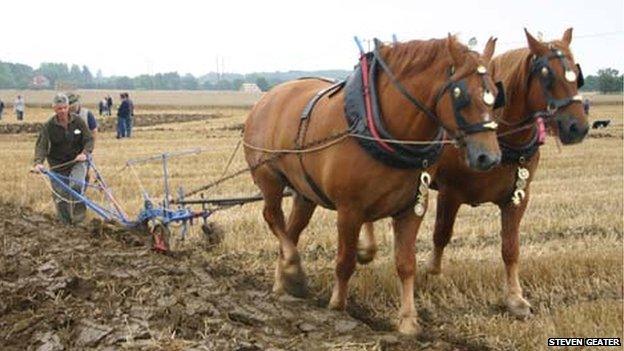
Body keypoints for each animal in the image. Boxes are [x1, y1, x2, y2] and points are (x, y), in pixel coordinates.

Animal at [244, 35, 502, 336]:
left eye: (494, 94)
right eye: (461, 95)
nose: (489, 157)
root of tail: (267, 97)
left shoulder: (412, 208)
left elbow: (406, 263)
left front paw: (407, 321)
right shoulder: (349, 210)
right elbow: (345, 261)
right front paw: (337, 307)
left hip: (305, 193)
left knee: (291, 231)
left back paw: (282, 282)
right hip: (269, 179)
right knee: (273, 217)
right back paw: (293, 268)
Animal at [356, 27, 588, 320]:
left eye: (576, 74)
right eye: (547, 75)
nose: (578, 127)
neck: (500, 134)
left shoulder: (519, 196)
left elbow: (511, 247)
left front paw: (515, 298)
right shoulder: (450, 192)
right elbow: (442, 233)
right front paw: (430, 273)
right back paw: (367, 249)